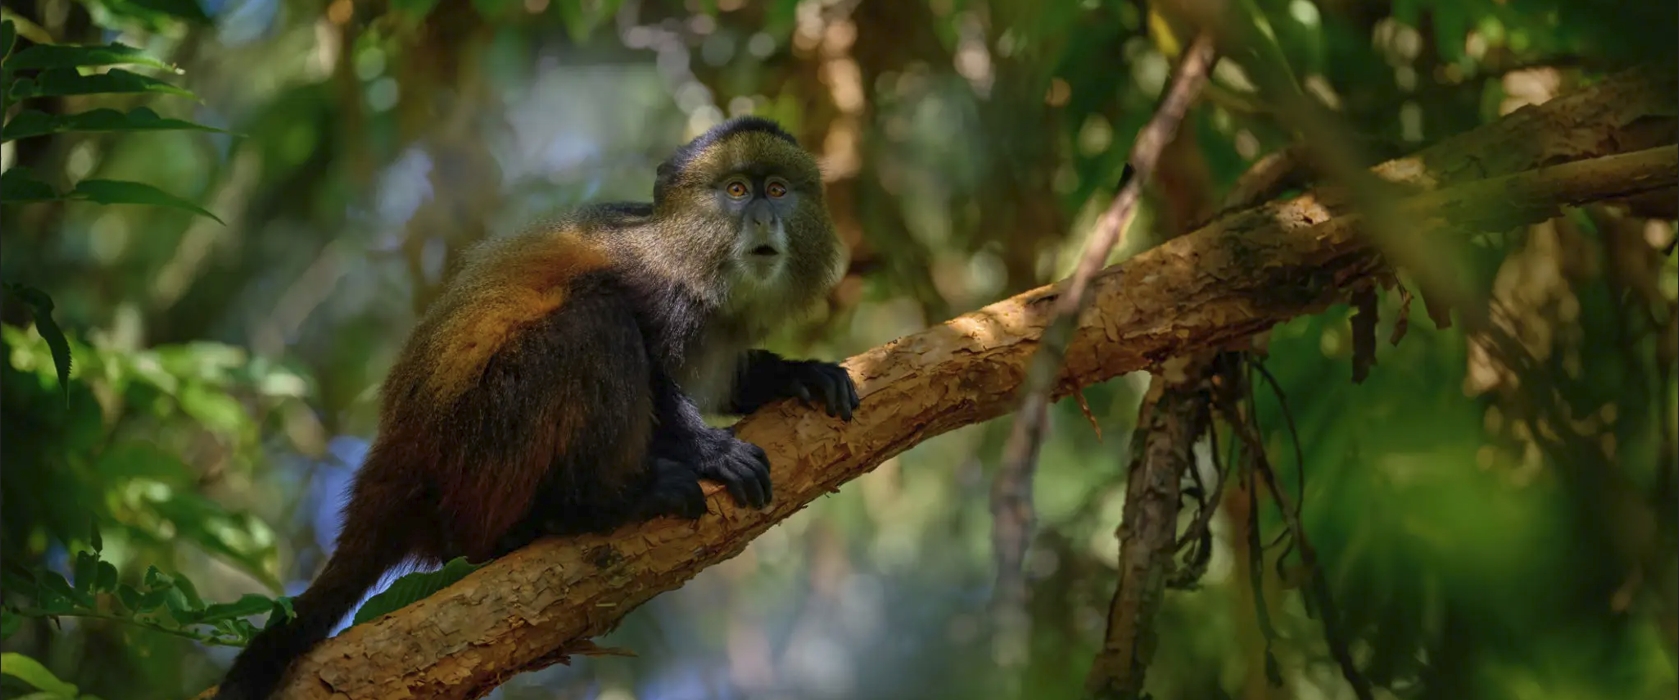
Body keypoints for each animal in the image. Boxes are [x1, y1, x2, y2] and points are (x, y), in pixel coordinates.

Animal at [211, 116, 859, 700]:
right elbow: (647, 357)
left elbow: (727, 379)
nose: (763, 217)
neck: (693, 259)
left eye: (778, 189)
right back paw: (588, 507)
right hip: (481, 445)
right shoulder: (657, 287)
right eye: (736, 191)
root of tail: (399, 456)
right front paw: (710, 449)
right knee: (595, 321)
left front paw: (801, 374)